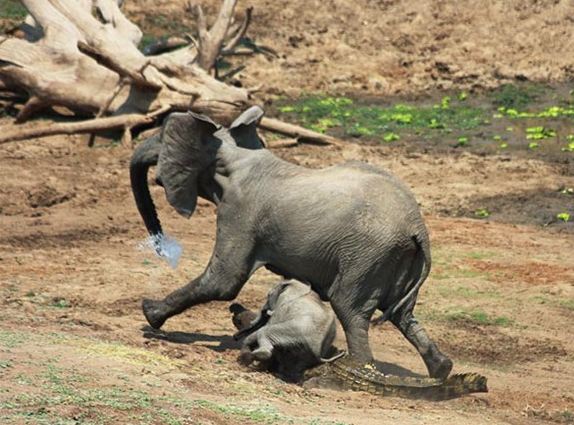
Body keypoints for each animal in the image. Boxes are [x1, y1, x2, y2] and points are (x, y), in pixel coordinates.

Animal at [129, 105, 454, 378]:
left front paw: (149, 314)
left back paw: (355, 370)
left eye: (161, 137)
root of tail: (418, 228)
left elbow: (223, 281)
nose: (161, 247)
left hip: (367, 255)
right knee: (402, 314)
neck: (234, 153)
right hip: (396, 259)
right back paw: (442, 370)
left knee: (350, 309)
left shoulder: (239, 211)